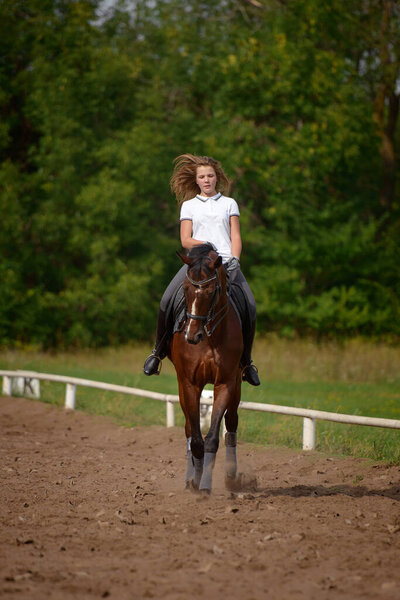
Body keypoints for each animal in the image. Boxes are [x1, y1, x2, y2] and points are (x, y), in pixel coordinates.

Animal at [167, 243, 242, 492]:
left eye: (210, 292)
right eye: (186, 289)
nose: (191, 336)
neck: (209, 338)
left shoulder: (225, 383)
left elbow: (212, 438)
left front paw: (206, 485)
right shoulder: (190, 384)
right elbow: (196, 439)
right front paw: (195, 481)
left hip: (237, 385)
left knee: (231, 423)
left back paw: (231, 477)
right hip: (182, 387)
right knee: (189, 430)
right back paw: (190, 477)